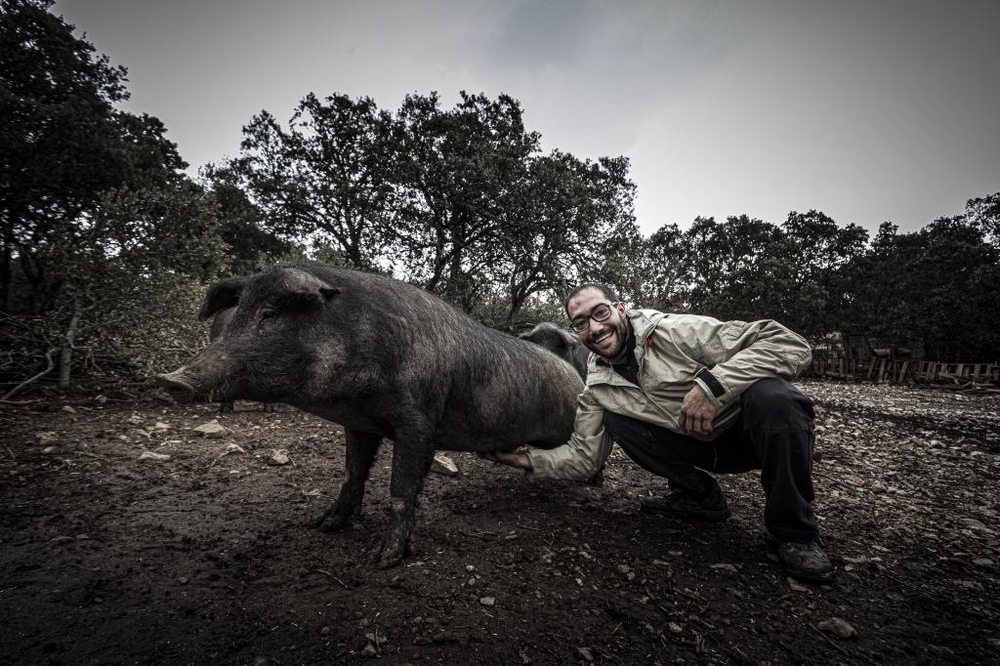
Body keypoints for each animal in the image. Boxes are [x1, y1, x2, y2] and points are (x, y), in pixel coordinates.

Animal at [156, 264, 584, 564]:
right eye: (239, 314)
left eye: (271, 314)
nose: (169, 379)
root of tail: (571, 371)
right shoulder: (358, 424)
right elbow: (352, 473)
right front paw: (324, 525)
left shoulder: (418, 420)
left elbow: (401, 486)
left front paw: (384, 559)